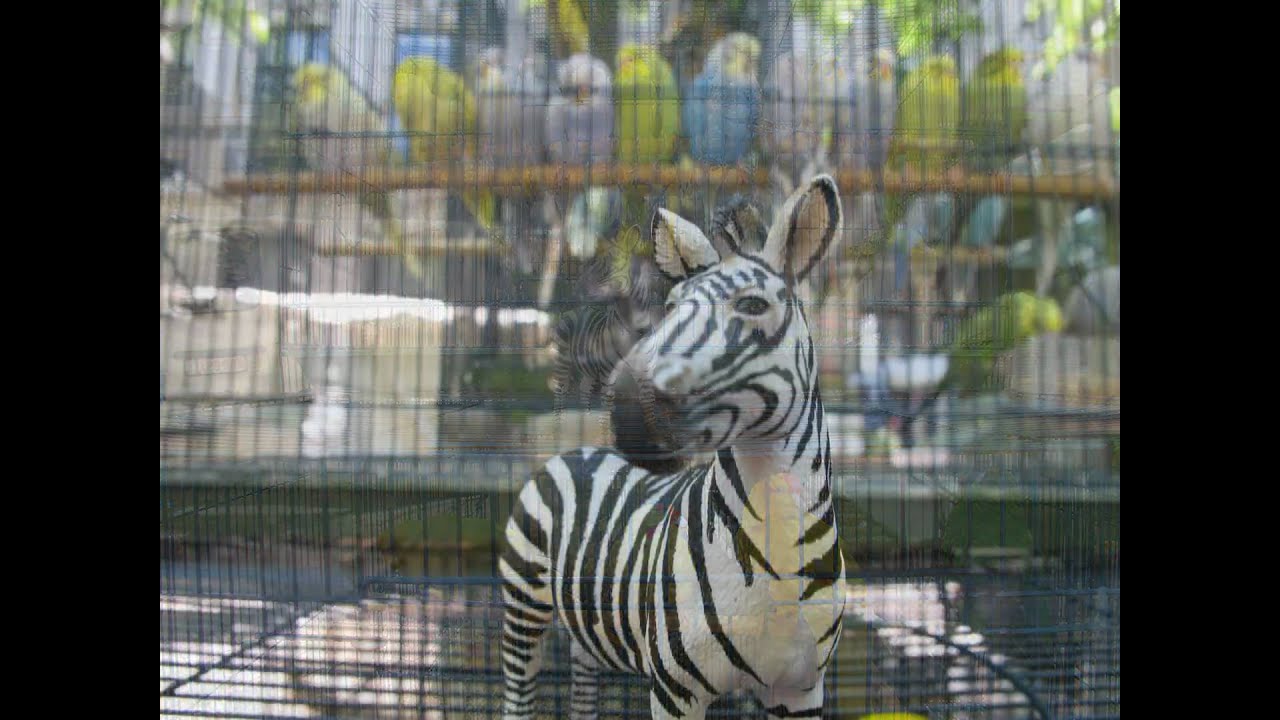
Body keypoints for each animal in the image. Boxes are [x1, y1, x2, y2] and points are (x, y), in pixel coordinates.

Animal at [500, 175, 848, 719]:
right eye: (670, 309)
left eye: (752, 306)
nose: (627, 413)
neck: (777, 547)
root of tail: (583, 450)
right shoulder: (673, 687)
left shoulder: (802, 688)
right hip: (524, 599)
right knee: (518, 688)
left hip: (586, 624)